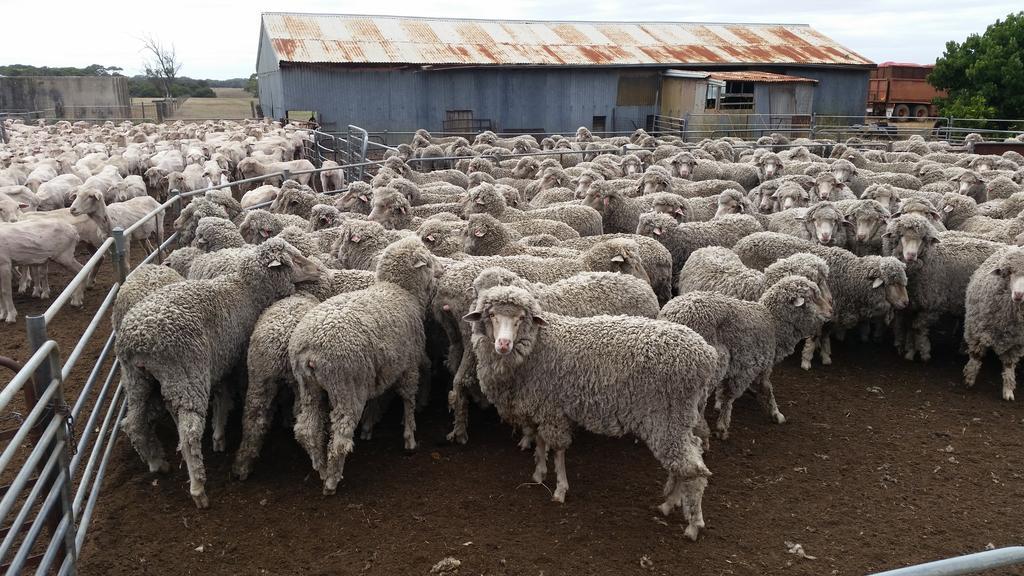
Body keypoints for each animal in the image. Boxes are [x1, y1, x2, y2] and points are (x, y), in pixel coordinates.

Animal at [115, 235, 319, 504]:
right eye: (295, 259)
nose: (318, 270)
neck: (246, 290)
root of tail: (137, 340)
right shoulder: (234, 361)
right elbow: (228, 397)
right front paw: (220, 436)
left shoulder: (221, 360)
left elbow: (222, 396)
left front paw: (218, 435)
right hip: (189, 374)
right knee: (189, 432)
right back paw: (198, 489)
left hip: (136, 379)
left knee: (133, 423)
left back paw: (156, 462)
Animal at [466, 282, 720, 537]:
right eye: (491, 315)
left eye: (520, 318)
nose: (503, 344)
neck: (536, 347)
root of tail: (707, 355)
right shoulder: (541, 405)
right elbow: (540, 440)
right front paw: (539, 473)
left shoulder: (552, 409)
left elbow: (558, 449)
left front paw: (560, 489)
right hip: (679, 418)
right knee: (690, 454)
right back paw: (670, 503)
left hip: (666, 418)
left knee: (693, 469)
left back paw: (693, 525)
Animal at [663, 272, 831, 434]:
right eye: (813, 298)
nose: (831, 311)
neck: (773, 324)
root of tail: (673, 315)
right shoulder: (747, 368)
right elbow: (731, 396)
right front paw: (723, 425)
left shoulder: (759, 366)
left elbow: (766, 388)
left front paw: (776, 413)